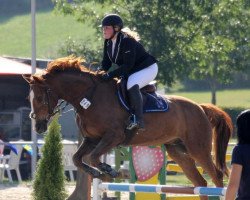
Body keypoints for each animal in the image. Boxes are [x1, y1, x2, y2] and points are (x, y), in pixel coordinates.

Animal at [23, 56, 232, 200]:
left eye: (40, 98)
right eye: (29, 98)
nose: (39, 126)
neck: (89, 97)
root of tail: (201, 108)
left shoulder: (113, 137)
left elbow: (93, 157)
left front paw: (108, 170)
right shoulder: (92, 139)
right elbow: (77, 158)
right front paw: (97, 173)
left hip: (198, 148)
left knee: (216, 177)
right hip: (178, 151)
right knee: (201, 183)